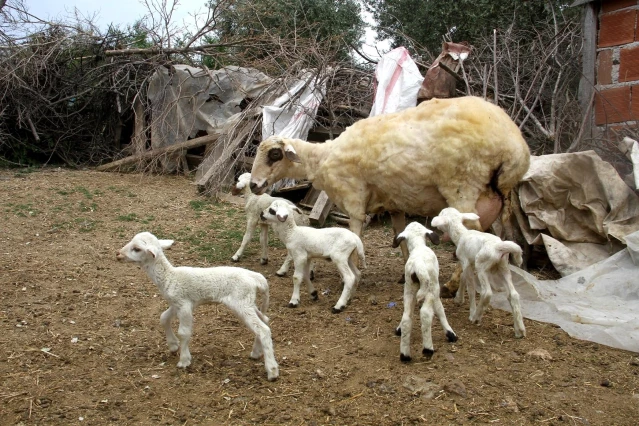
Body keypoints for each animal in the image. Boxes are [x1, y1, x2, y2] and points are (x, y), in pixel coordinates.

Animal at [117, 231, 280, 382]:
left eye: (137, 249)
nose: (118, 254)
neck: (169, 277)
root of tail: (257, 279)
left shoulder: (184, 305)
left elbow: (184, 332)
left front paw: (184, 360)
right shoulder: (176, 303)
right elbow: (163, 318)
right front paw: (173, 345)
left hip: (241, 302)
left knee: (263, 330)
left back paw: (272, 371)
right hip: (248, 302)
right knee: (264, 321)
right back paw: (256, 353)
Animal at [248, 96, 532, 296]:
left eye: (274, 154)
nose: (253, 185)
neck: (322, 159)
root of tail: (516, 147)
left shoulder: (354, 199)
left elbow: (355, 235)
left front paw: (351, 275)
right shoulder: (395, 203)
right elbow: (401, 235)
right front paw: (406, 270)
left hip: (464, 188)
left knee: (468, 234)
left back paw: (451, 287)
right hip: (500, 198)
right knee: (502, 234)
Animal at [392, 221, 458, 362]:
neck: (418, 246)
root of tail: (418, 265)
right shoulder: (436, 289)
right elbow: (439, 309)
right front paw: (450, 334)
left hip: (409, 288)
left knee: (406, 317)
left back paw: (405, 355)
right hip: (430, 287)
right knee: (426, 314)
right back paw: (428, 349)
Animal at [430, 208, 524, 338]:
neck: (461, 235)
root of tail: (498, 247)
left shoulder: (466, 262)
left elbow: (470, 287)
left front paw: (471, 311)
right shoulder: (468, 263)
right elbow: (462, 277)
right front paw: (459, 298)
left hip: (481, 266)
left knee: (487, 292)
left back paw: (476, 317)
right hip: (504, 267)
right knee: (513, 294)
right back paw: (520, 329)